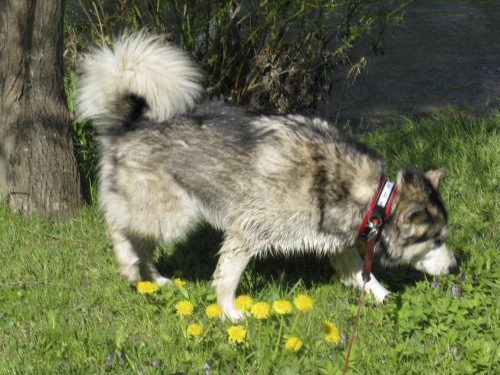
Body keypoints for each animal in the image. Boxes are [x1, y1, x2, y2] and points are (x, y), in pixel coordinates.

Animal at [77, 33, 458, 320]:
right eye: (435, 239)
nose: (455, 268)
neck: (373, 197)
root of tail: (130, 122)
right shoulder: (246, 233)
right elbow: (226, 279)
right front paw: (230, 314)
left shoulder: (336, 243)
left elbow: (363, 276)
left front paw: (384, 296)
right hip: (174, 215)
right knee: (119, 226)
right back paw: (128, 265)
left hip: (168, 217)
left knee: (143, 243)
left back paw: (156, 279)